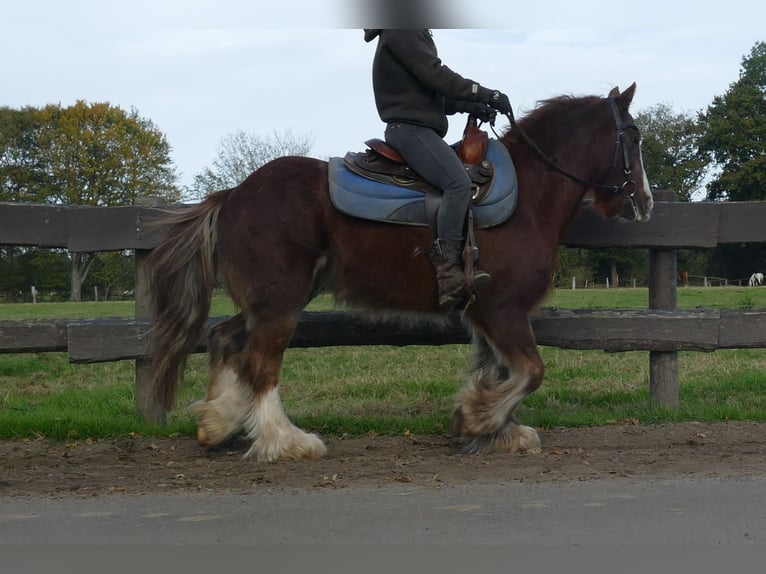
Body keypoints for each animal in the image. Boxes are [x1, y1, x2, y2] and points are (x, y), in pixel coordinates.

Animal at [148, 83, 656, 462]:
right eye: (632, 138)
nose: (646, 202)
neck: (529, 195)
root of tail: (232, 194)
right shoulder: (502, 308)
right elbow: (530, 371)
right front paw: (479, 419)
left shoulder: (485, 313)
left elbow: (497, 369)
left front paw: (495, 430)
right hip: (280, 300)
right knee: (260, 362)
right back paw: (285, 441)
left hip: (275, 297)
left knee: (225, 338)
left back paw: (218, 422)